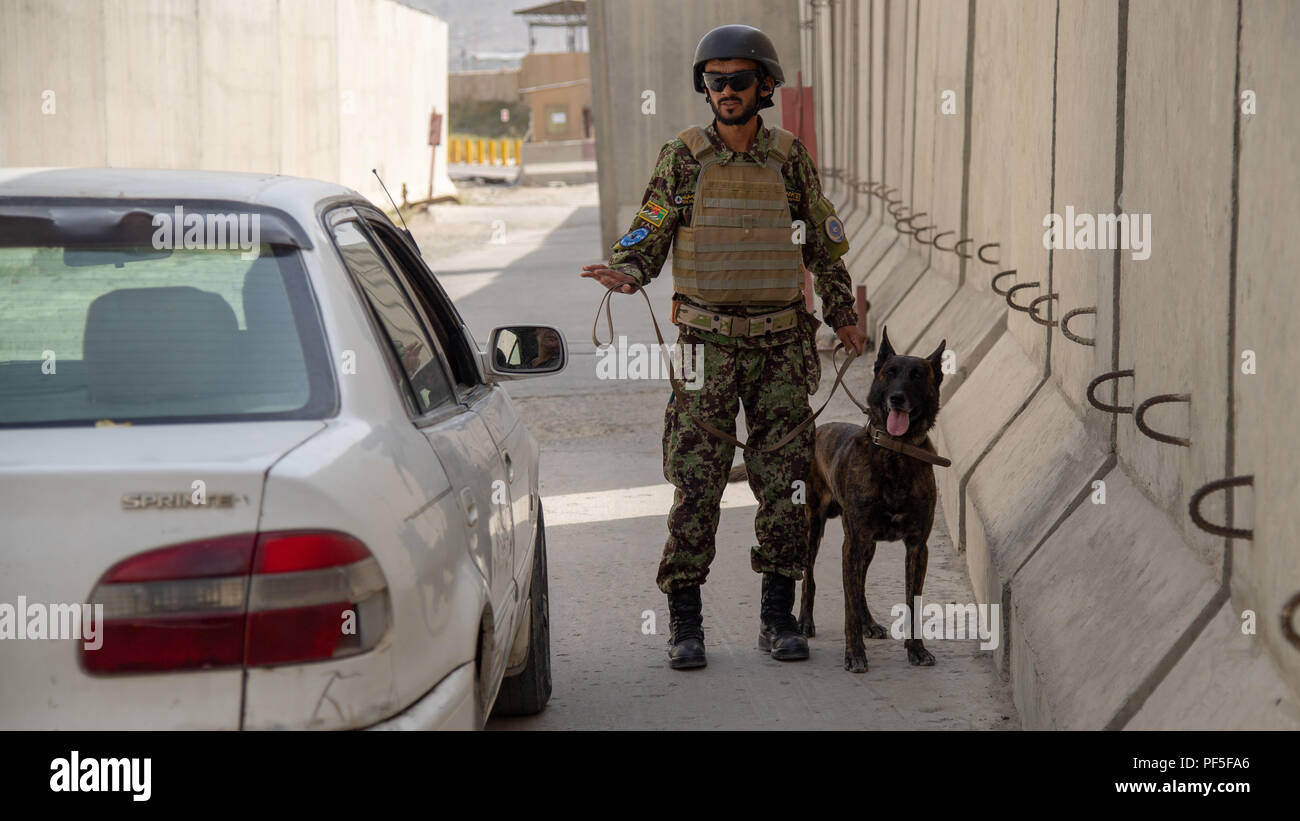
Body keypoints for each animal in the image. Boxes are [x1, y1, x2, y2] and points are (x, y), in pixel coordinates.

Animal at [800, 327, 946, 675]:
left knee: (860, 584)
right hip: (815, 529)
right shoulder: (852, 543)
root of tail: (820, 429)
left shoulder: (917, 547)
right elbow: (848, 606)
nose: (897, 398)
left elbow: (911, 602)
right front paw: (854, 654)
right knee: (810, 578)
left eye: (917, 375)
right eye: (889, 373)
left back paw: (869, 622)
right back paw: (804, 622)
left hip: (866, 546)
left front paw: (916, 650)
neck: (896, 452)